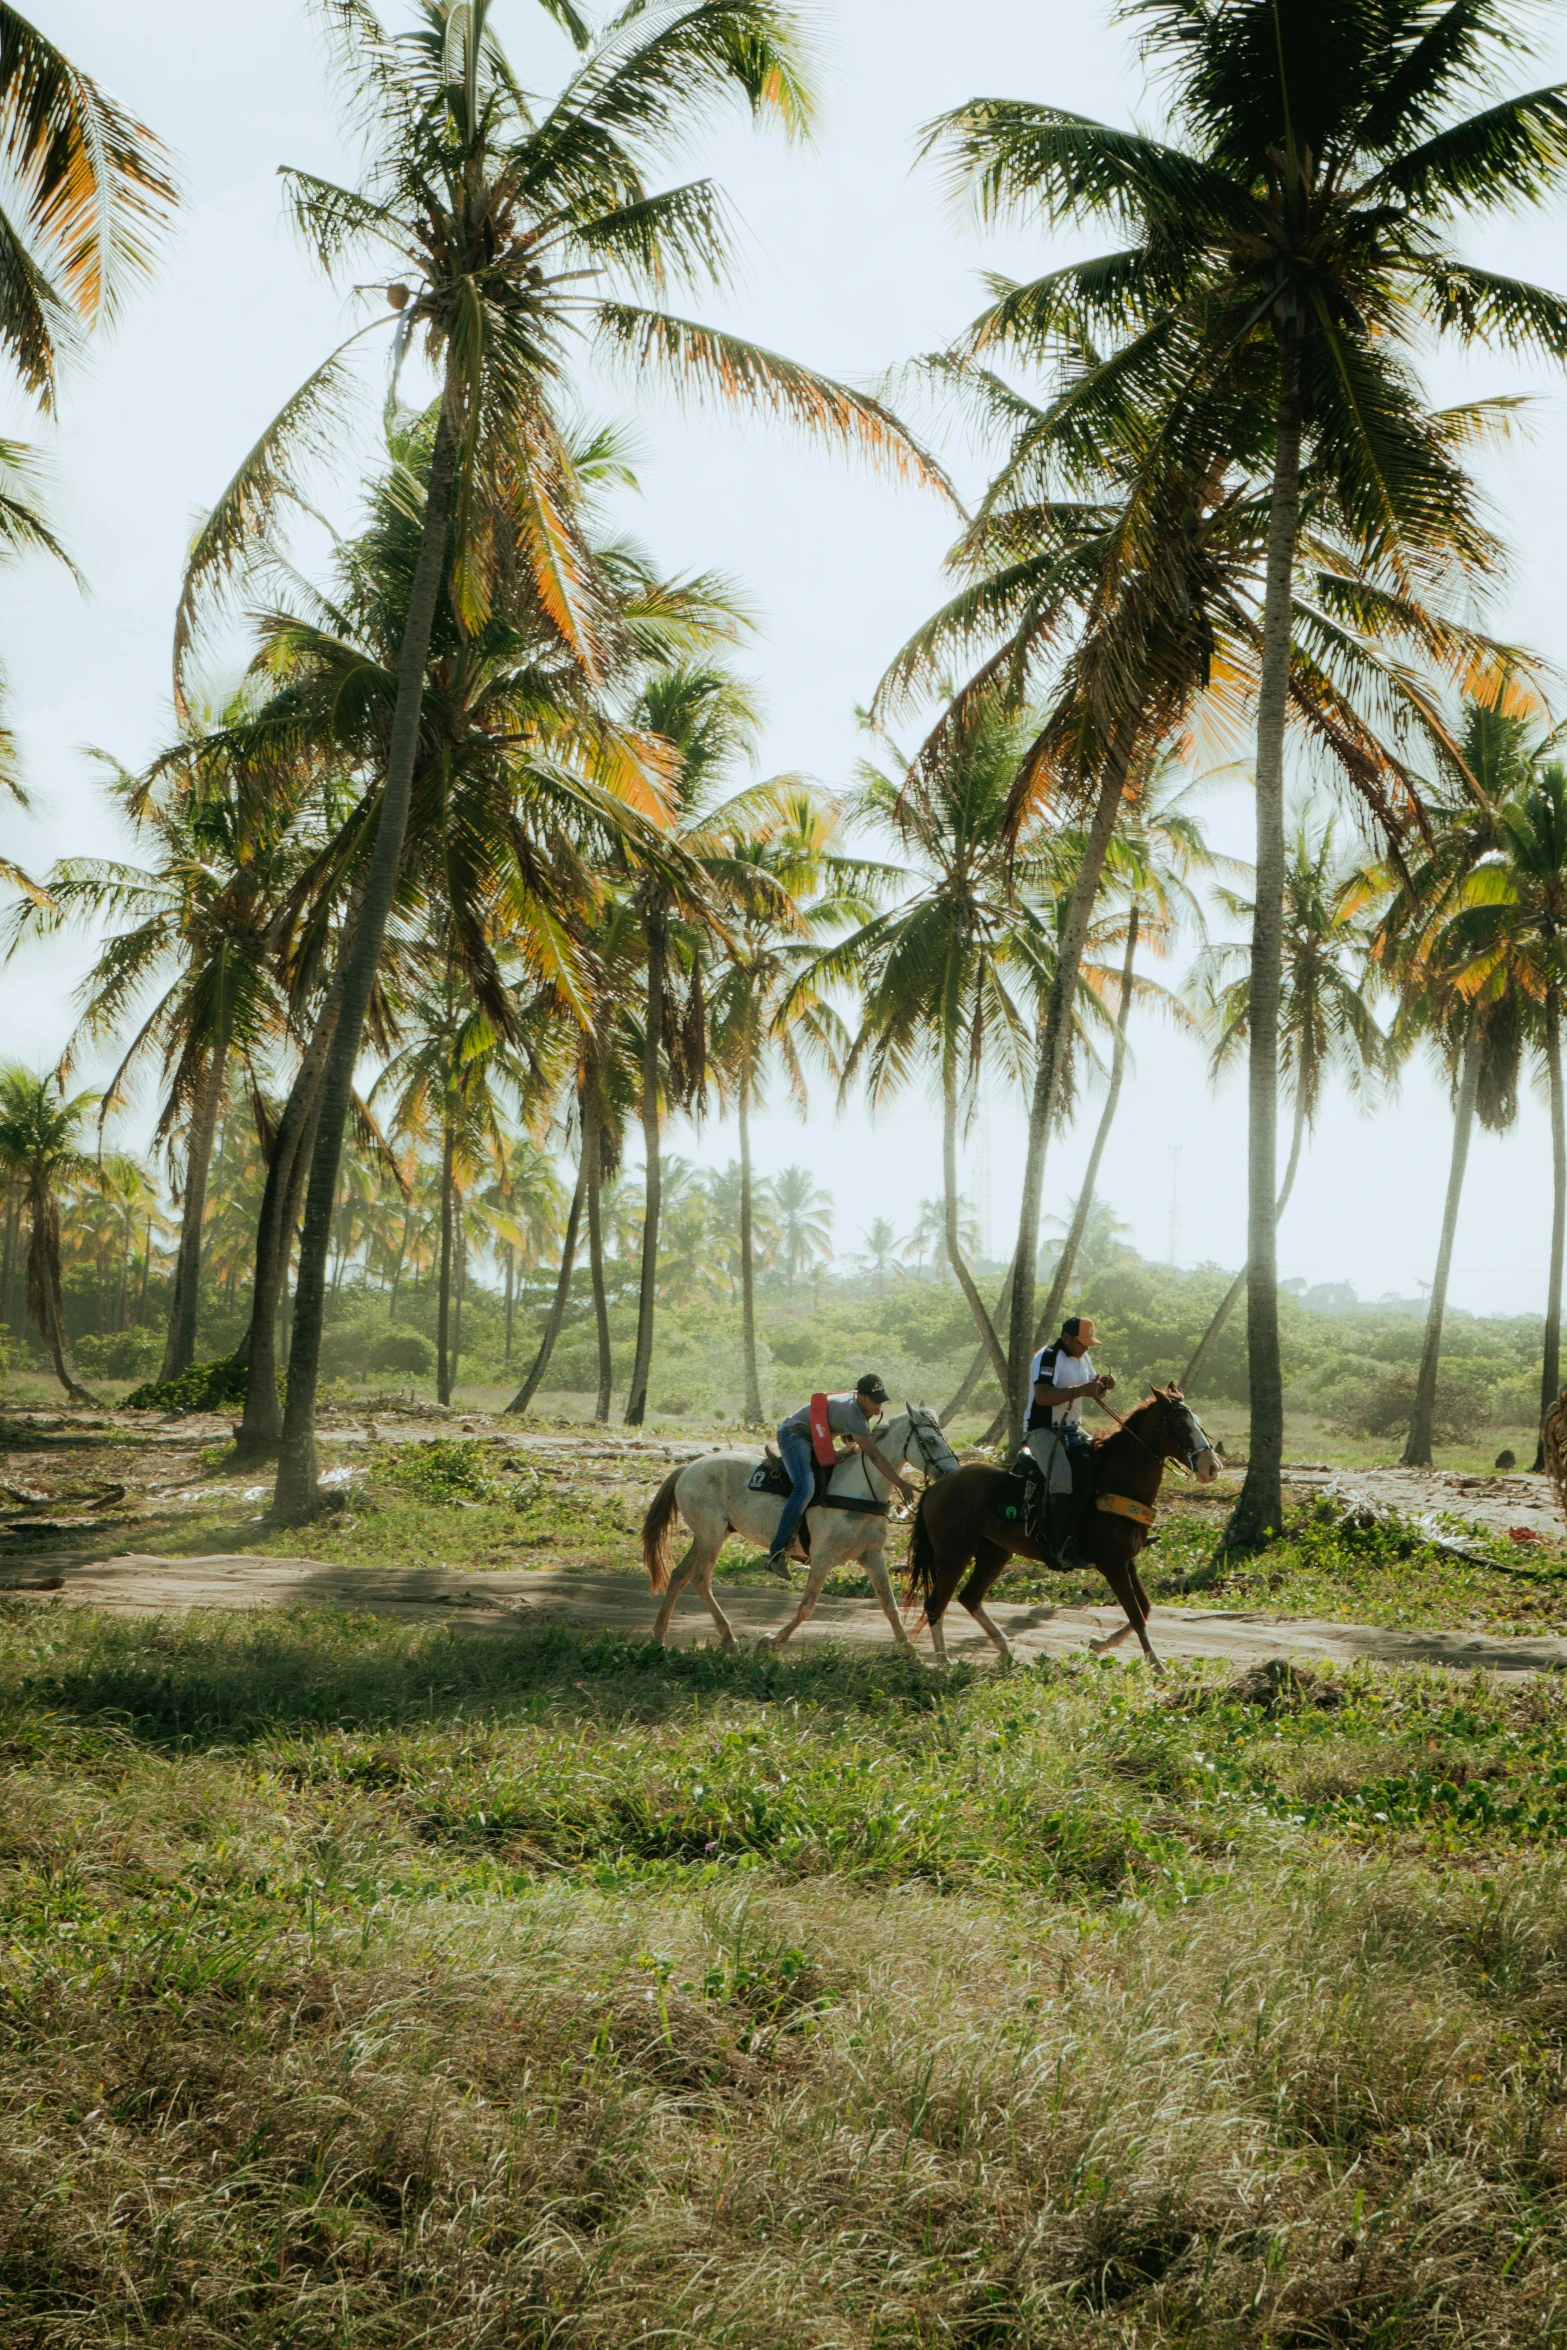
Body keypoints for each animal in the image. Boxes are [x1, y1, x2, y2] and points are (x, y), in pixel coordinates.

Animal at [639, 1400, 958, 1663]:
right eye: (930, 1440)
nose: (952, 1473)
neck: (859, 1491)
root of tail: (688, 1468)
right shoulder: (823, 1558)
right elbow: (807, 1606)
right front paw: (770, 1642)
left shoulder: (872, 1556)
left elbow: (889, 1606)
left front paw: (911, 1653)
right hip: (711, 1535)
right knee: (700, 1579)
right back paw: (727, 1637)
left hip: (709, 1535)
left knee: (679, 1576)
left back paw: (658, 1637)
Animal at [906, 1391, 1221, 1673]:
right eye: (1179, 1424)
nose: (1212, 1467)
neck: (1114, 1482)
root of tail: (936, 1488)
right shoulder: (1112, 1564)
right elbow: (1135, 1613)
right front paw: (1156, 1663)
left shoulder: (1126, 1560)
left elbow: (1143, 1607)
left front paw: (1100, 1643)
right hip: (953, 1554)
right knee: (935, 1604)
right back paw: (943, 1662)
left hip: (994, 1553)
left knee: (969, 1598)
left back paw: (1004, 1648)